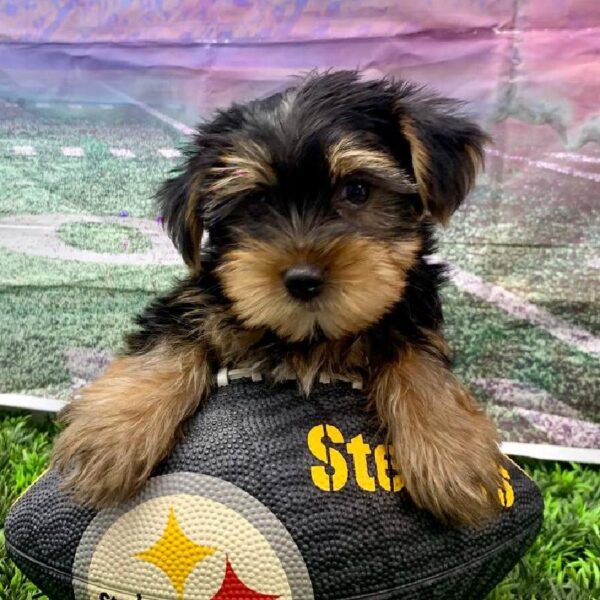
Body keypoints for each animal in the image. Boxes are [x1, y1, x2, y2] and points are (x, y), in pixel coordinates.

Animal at [51, 72, 504, 528]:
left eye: (357, 190)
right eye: (258, 202)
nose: (303, 279)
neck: (311, 335)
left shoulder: (412, 305)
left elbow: (419, 357)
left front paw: (452, 452)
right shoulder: (196, 297)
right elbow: (166, 341)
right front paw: (110, 436)